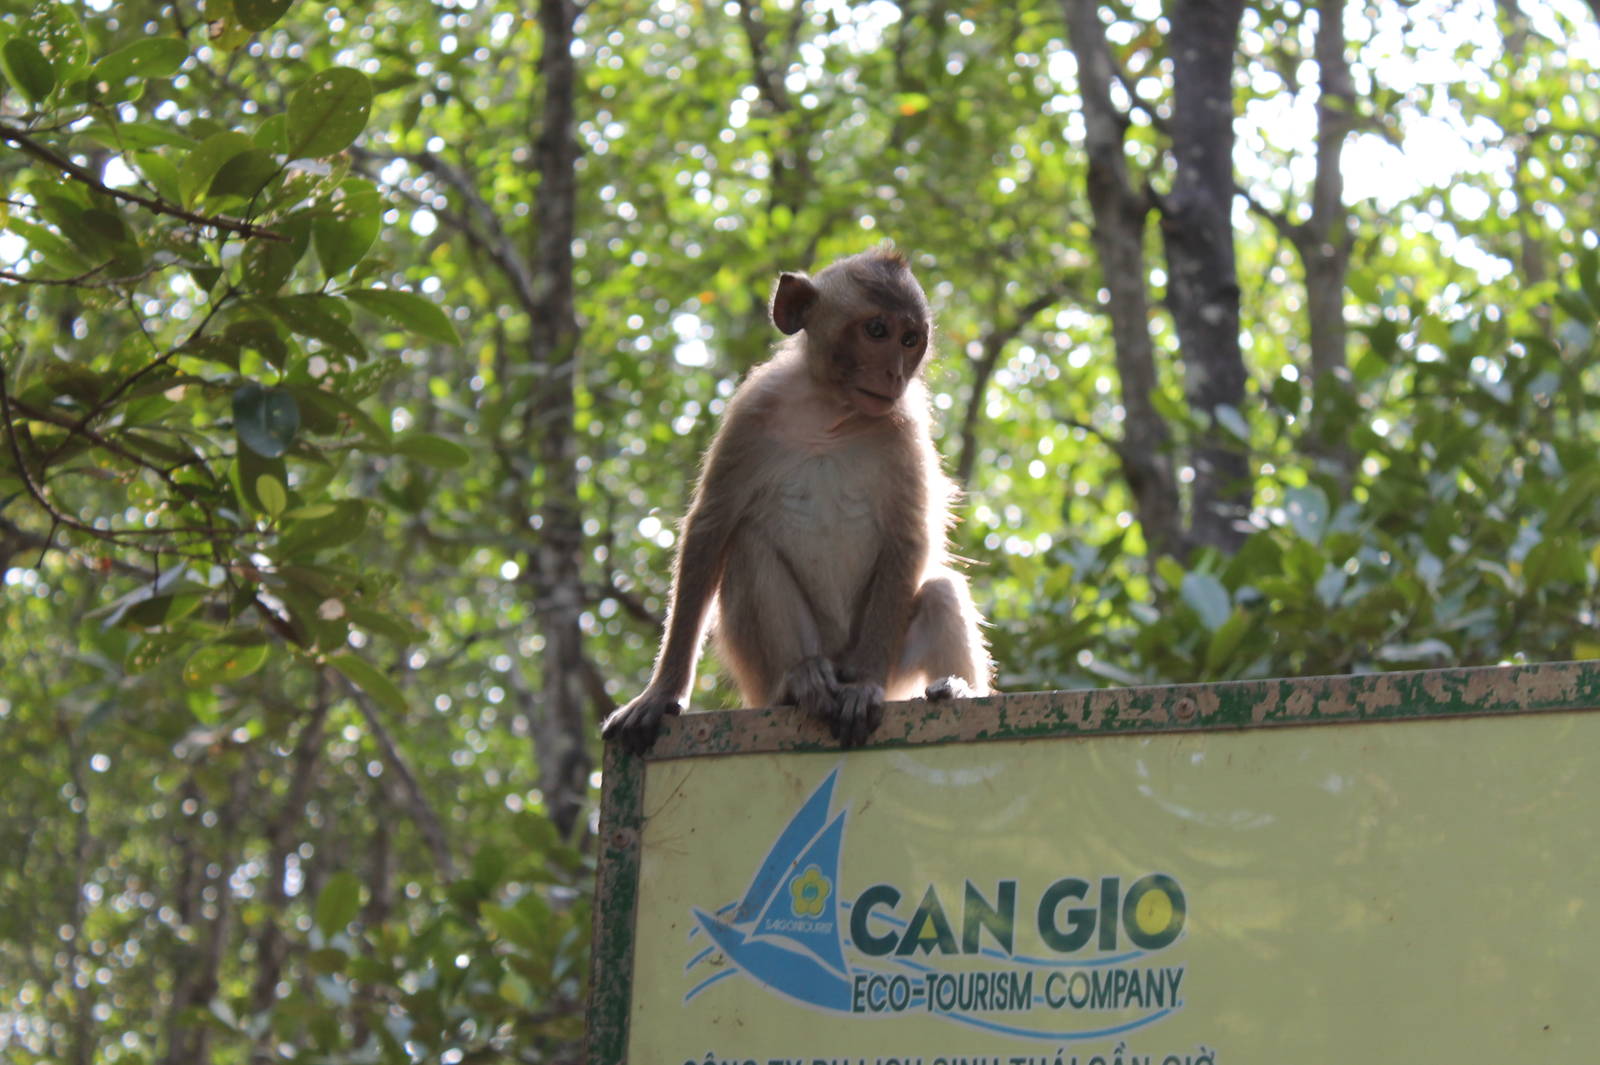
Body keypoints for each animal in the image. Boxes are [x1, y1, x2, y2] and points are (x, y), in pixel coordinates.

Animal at [602, 245, 992, 753]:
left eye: (911, 340)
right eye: (877, 330)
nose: (894, 373)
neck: (829, 412)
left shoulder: (905, 428)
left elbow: (908, 539)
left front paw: (865, 685)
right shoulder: (751, 411)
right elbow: (710, 528)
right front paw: (661, 694)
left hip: (892, 667)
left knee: (942, 589)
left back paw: (953, 689)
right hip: (764, 670)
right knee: (747, 547)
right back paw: (799, 682)